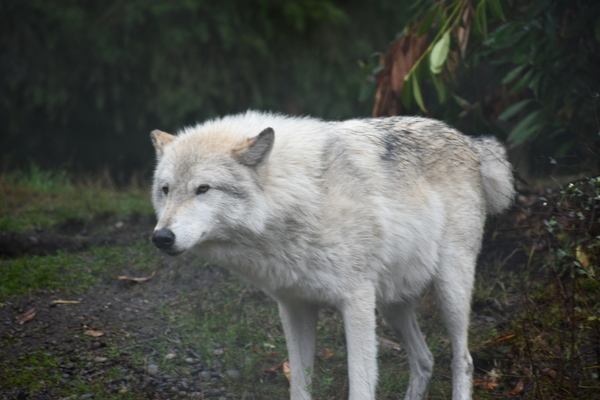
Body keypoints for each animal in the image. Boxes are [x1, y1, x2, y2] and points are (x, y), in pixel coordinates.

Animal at [150, 111, 514, 400]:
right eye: (166, 190)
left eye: (203, 189)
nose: (161, 237)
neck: (301, 195)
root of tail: (466, 139)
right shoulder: (295, 307)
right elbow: (299, 384)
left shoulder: (356, 303)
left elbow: (362, 386)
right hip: (392, 306)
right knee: (425, 360)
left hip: (449, 291)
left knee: (462, 361)